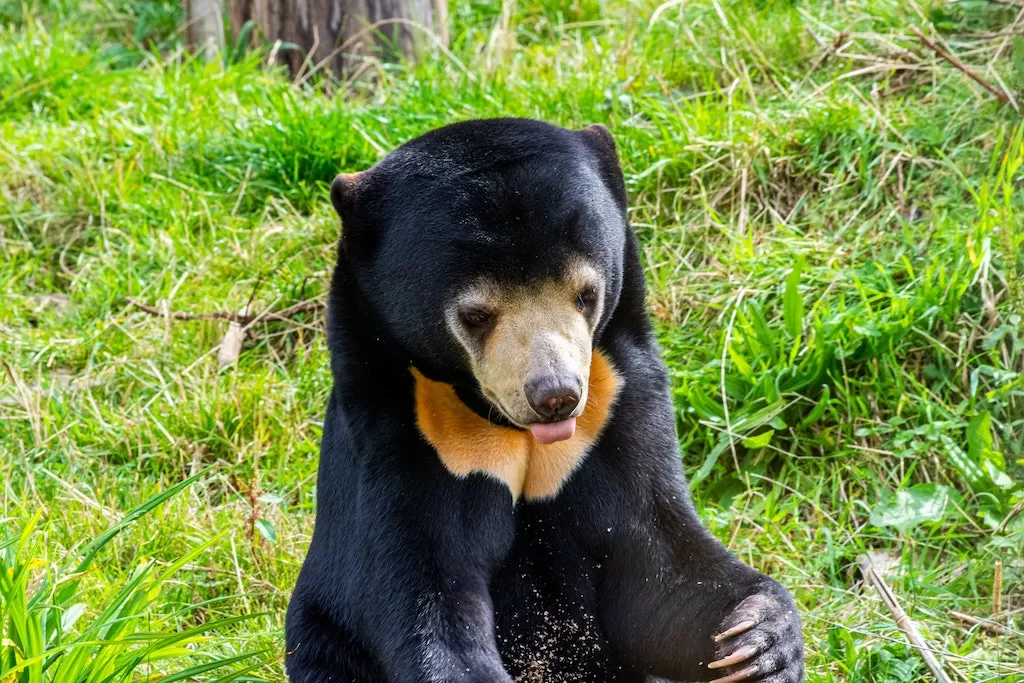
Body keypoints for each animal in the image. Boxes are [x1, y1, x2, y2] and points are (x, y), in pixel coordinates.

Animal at [285, 118, 804, 683]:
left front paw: (757, 643)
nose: (555, 397)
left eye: (586, 294)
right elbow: (429, 598)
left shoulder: (616, 405)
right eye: (475, 315)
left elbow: (659, 565)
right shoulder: (406, 436)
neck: (507, 428)